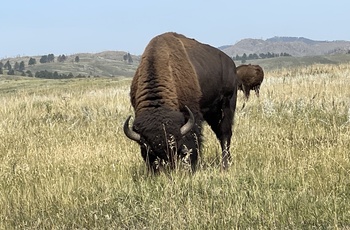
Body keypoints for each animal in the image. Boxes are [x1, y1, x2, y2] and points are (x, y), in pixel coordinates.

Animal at [123, 32, 238, 172]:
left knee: (224, 134)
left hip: (226, 105)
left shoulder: (192, 115)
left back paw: (225, 165)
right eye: (149, 151)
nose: (167, 170)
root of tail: (231, 63)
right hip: (212, 113)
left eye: (176, 147)